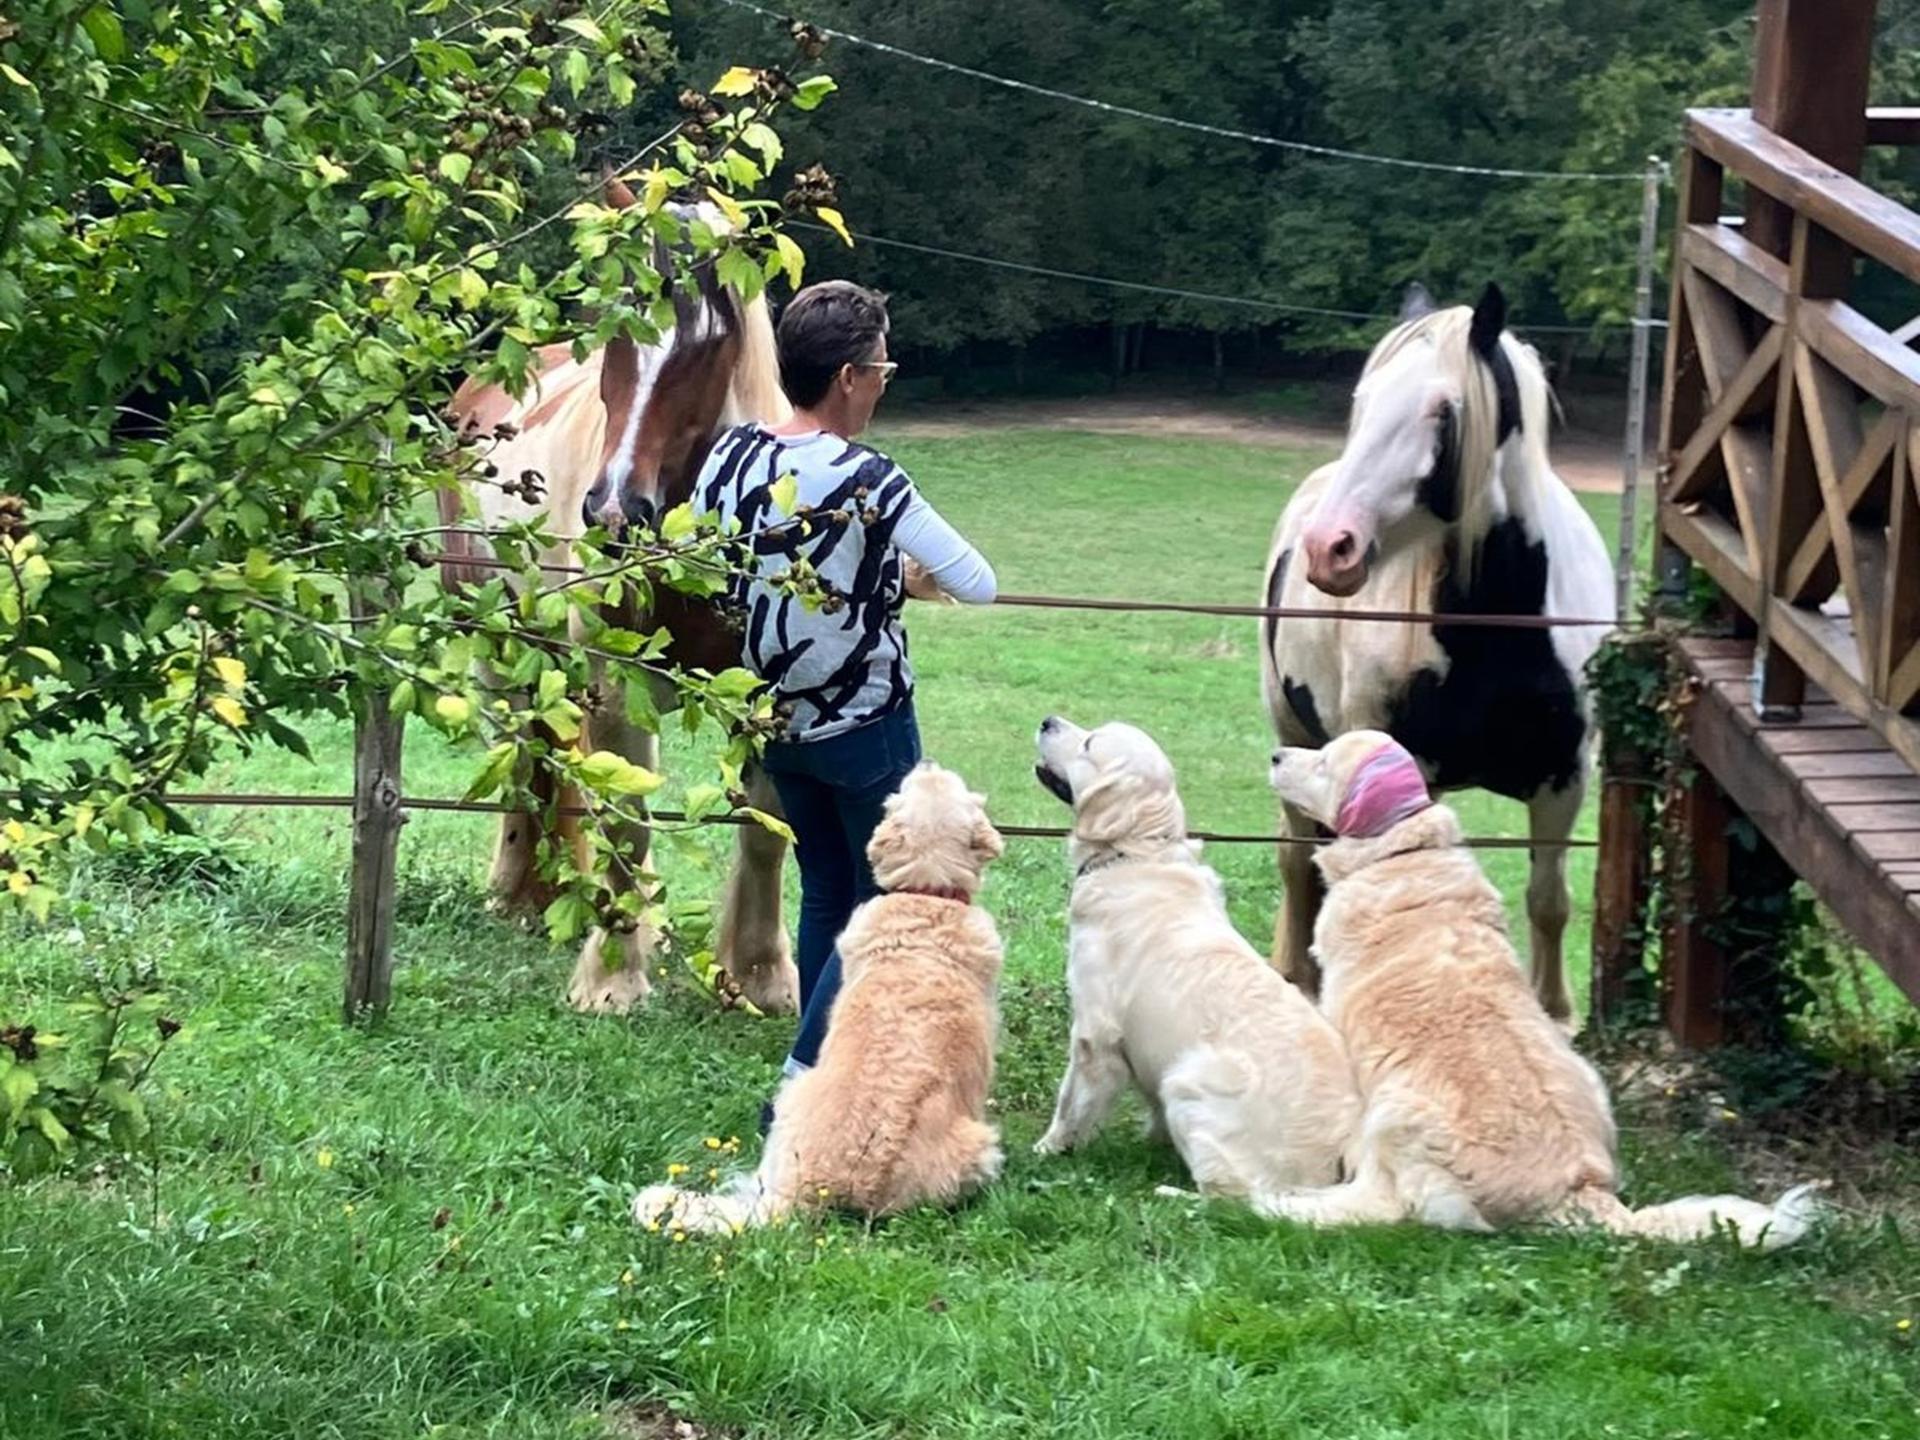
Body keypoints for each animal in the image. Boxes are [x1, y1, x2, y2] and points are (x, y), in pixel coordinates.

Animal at [440, 188, 798, 1017]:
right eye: (611, 324)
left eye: (710, 343)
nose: (613, 512)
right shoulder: (616, 681)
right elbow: (625, 822)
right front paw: (611, 978)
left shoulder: (768, 697)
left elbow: (763, 829)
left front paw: (760, 976)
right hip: (499, 648)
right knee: (527, 756)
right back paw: (517, 895)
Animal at [1031, 717, 1359, 1204]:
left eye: (1089, 743)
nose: (1048, 720)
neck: (1135, 854)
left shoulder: (1094, 1031)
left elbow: (1071, 1101)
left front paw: (1049, 1147)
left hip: (1187, 1078)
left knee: (1231, 1198)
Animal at [1258, 282, 1616, 1025]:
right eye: (1362, 401)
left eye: (1443, 411)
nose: (1329, 548)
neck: (1496, 623)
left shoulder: (1566, 778)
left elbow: (1548, 899)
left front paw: (1555, 1013)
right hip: (1290, 731)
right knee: (1298, 861)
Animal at [1263, 728, 1824, 1246]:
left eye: (1323, 762)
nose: (1276, 754)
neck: (1401, 850)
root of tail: (1580, 1190)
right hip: (1588, 1079)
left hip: (1394, 1116)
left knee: (1388, 1204)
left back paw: (1290, 1205)